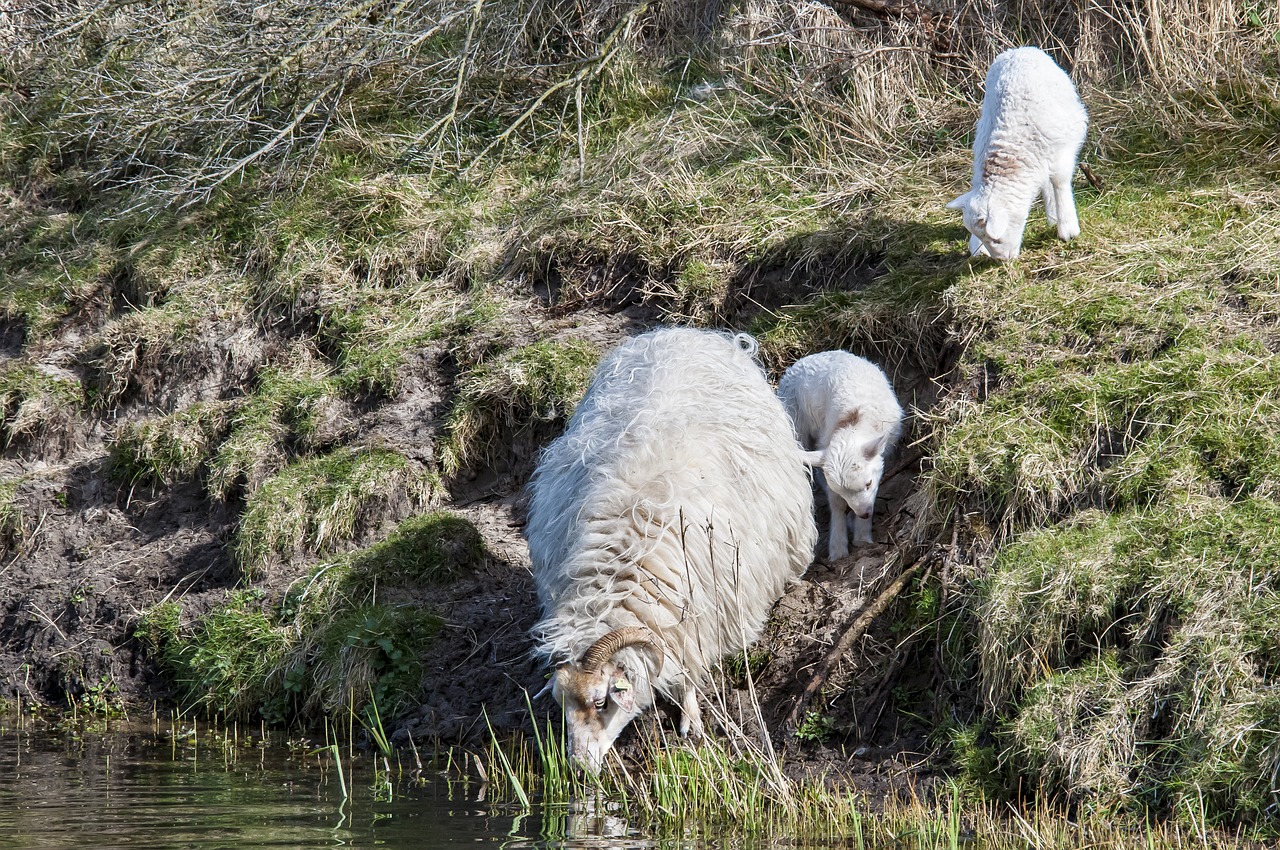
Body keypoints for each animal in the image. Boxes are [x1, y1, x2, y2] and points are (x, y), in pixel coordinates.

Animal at [524, 326, 814, 778]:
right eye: (561, 703)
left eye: (602, 700)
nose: (579, 768)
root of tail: (684, 333)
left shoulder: (702, 611)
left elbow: (690, 669)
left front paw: (691, 721)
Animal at [773, 348, 906, 560]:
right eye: (842, 492)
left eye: (868, 483)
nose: (864, 514)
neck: (855, 419)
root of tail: (803, 360)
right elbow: (836, 504)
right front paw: (838, 547)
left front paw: (862, 535)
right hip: (795, 418)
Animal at [947, 45, 1085, 258]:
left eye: (996, 239)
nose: (1004, 260)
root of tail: (1020, 49)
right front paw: (977, 248)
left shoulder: (1060, 153)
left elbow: (1060, 183)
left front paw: (1068, 229)